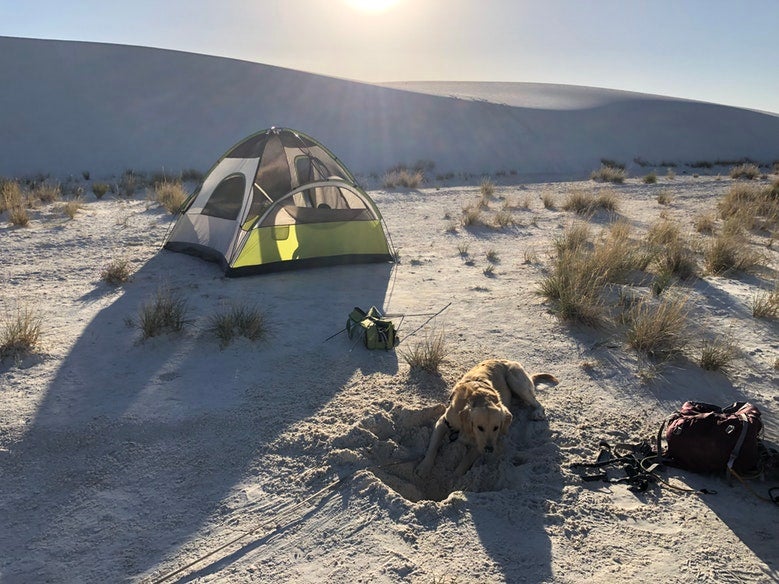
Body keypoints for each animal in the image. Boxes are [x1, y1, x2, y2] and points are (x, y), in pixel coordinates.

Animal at [418, 358, 556, 476]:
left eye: (496, 428)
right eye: (480, 427)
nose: (489, 449)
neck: (479, 397)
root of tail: (508, 360)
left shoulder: (479, 444)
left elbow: (466, 461)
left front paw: (455, 477)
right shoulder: (443, 422)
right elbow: (432, 447)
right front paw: (424, 468)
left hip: (515, 381)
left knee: (537, 403)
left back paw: (537, 412)